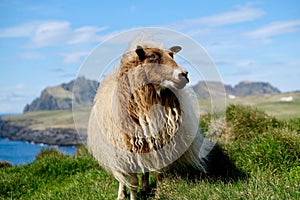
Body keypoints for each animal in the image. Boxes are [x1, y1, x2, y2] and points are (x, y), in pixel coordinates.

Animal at [86, 38, 213, 199]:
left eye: (172, 55)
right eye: (152, 56)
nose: (184, 74)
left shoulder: (160, 144)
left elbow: (158, 173)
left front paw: (159, 192)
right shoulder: (126, 150)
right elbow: (132, 181)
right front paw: (132, 196)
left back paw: (145, 187)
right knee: (123, 177)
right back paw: (122, 194)